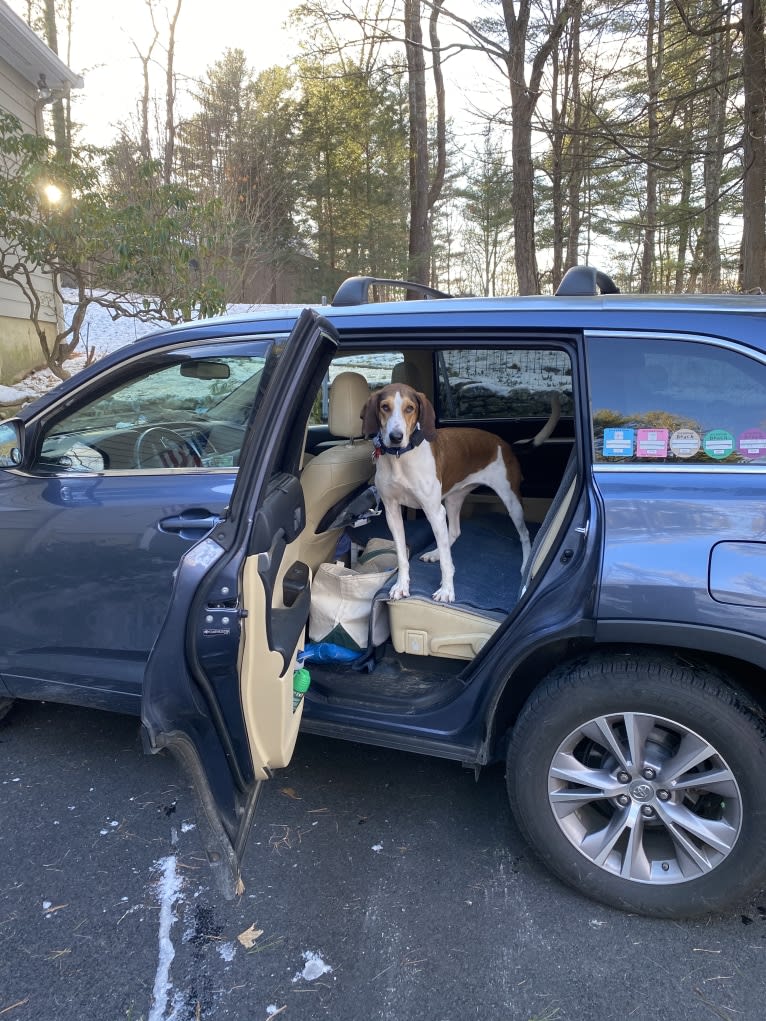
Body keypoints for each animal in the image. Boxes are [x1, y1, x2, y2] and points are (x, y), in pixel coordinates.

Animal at [361, 383, 559, 604]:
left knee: (524, 535)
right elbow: (402, 557)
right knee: (454, 532)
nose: (396, 437)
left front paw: (447, 590)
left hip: (511, 501)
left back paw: (525, 565)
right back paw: (436, 552)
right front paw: (401, 585)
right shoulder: (392, 512)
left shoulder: (434, 511)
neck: (400, 458)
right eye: (385, 407)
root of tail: (505, 444)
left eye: (409, 408)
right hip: (453, 500)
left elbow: (447, 564)